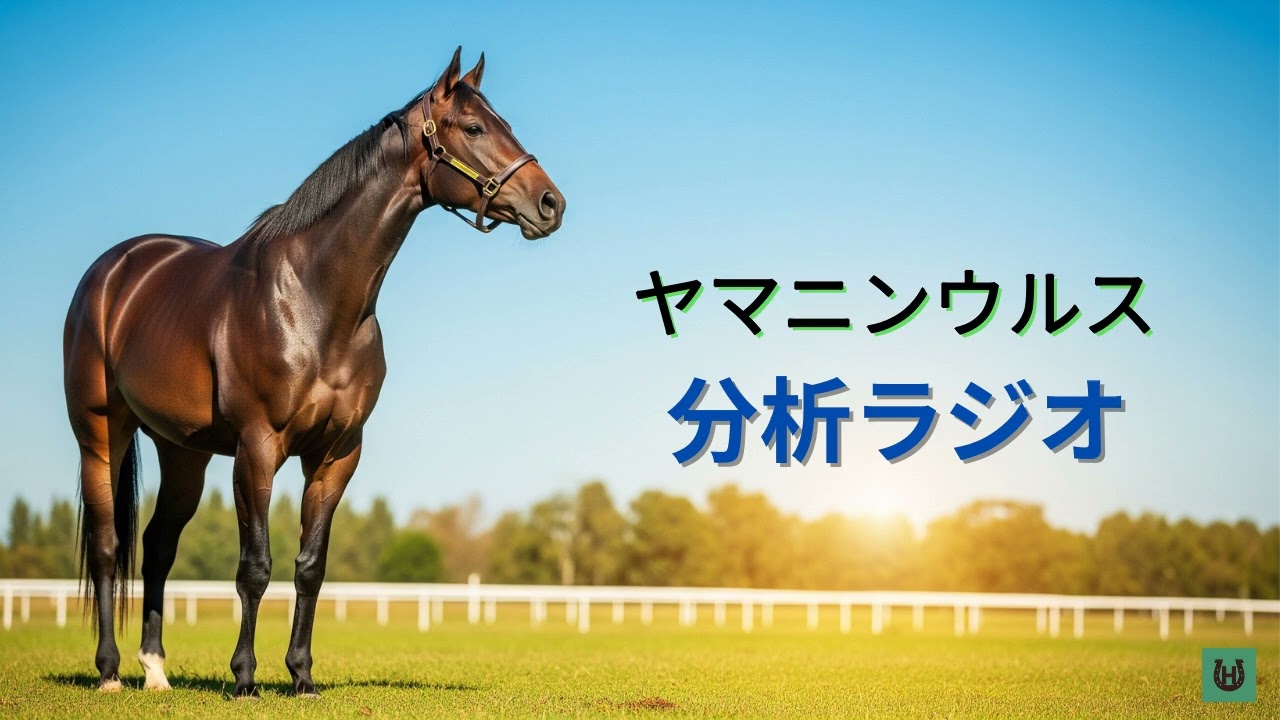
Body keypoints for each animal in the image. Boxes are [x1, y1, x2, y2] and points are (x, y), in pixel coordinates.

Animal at [62, 47, 564, 698]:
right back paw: (109, 672)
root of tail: (113, 271)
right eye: (475, 128)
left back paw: (155, 670)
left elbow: (310, 567)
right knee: (107, 547)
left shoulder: (336, 454)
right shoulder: (257, 449)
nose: (551, 203)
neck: (315, 299)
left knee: (156, 548)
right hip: (101, 435)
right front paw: (245, 678)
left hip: (184, 453)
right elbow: (255, 568)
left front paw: (301, 675)